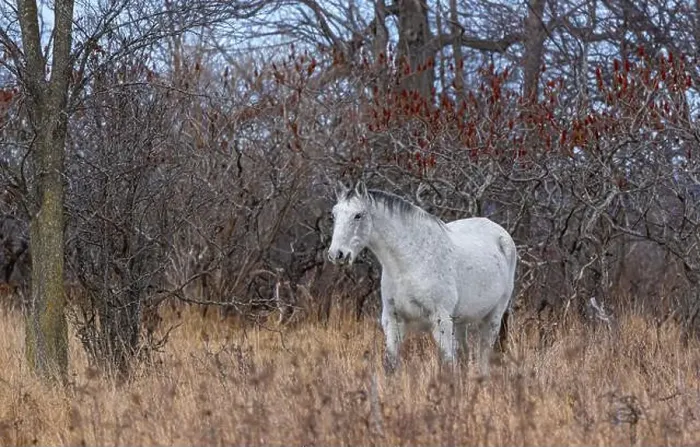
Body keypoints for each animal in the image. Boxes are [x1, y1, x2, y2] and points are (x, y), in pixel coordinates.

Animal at [327, 181, 517, 376]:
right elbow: (391, 364)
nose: (337, 254)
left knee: (483, 355)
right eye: (333, 215)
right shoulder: (393, 321)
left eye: (358, 215)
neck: (410, 262)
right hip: (460, 322)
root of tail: (501, 234)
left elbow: (447, 364)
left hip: (493, 318)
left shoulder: (441, 322)